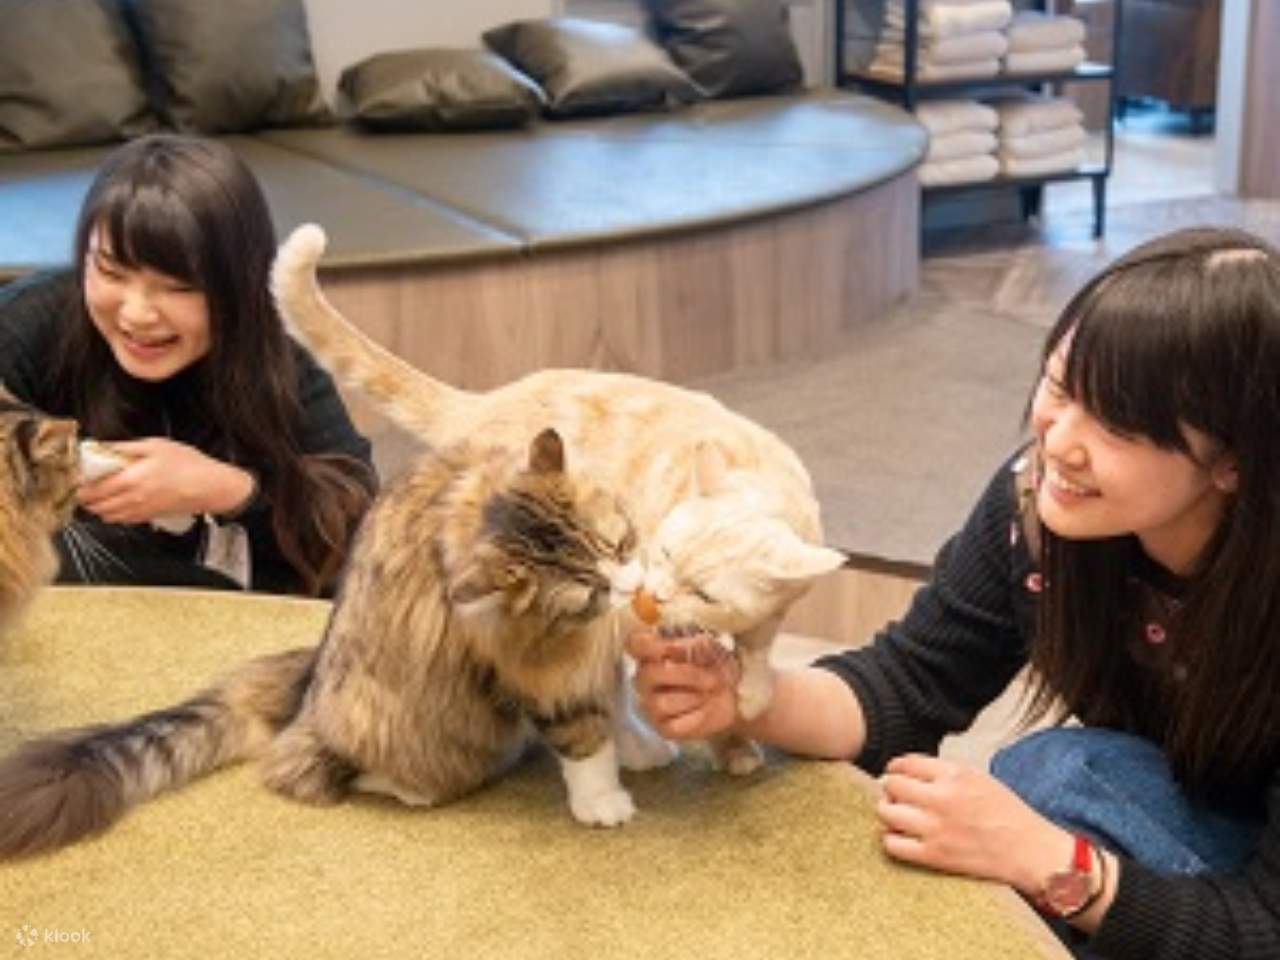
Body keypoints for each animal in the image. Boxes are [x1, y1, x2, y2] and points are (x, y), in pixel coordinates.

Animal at [0, 427, 648, 860]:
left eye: (619, 546)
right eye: (588, 592)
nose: (631, 587)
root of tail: (302, 695)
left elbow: (616, 707)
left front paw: (640, 748)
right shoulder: (536, 673)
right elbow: (583, 738)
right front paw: (603, 799)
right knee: (305, 766)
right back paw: (404, 787)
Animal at [271, 224, 847, 773]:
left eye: (704, 593)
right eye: (662, 552)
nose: (652, 595)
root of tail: (488, 400)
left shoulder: (773, 600)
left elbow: (759, 640)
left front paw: (750, 695)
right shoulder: (623, 619)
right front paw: (724, 737)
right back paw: (638, 748)